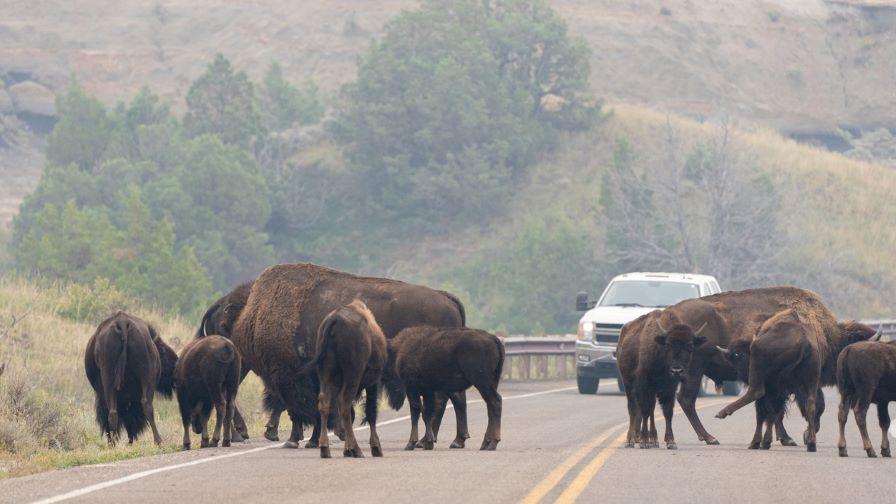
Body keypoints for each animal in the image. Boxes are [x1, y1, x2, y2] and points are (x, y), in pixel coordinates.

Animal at [300, 302, 386, 458]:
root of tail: (334, 319)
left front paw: (347, 450)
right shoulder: (373, 383)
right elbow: (370, 412)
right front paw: (376, 447)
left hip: (325, 374)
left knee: (325, 403)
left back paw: (325, 449)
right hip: (353, 375)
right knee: (344, 404)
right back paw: (356, 450)